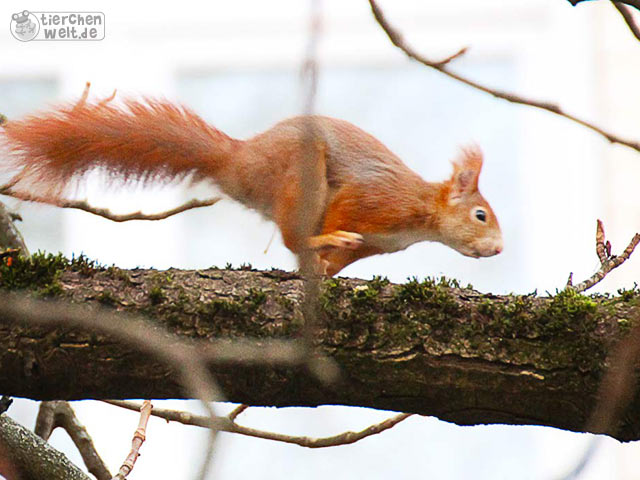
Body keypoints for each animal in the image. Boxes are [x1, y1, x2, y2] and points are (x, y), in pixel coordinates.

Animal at [0, 94, 502, 274]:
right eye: (480, 214)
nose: (498, 249)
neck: (421, 215)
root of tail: (238, 162)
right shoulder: (372, 201)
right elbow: (341, 218)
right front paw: (326, 244)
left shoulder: (377, 244)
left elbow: (340, 264)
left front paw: (325, 272)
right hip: (299, 174)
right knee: (291, 234)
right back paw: (313, 239)